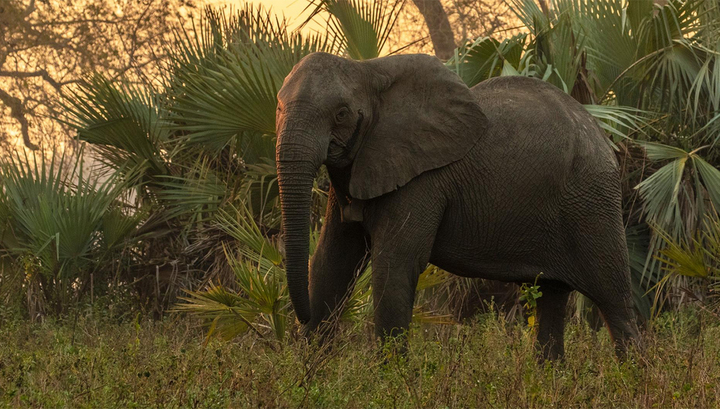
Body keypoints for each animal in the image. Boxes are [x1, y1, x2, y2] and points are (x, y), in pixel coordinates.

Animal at [274, 51, 640, 360]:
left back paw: (633, 377)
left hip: (592, 202)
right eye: (277, 108)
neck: (368, 70)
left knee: (616, 301)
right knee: (552, 296)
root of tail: (602, 135)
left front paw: (393, 382)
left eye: (341, 114)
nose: (300, 317)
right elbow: (331, 264)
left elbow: (395, 266)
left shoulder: (422, 179)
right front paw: (308, 376)